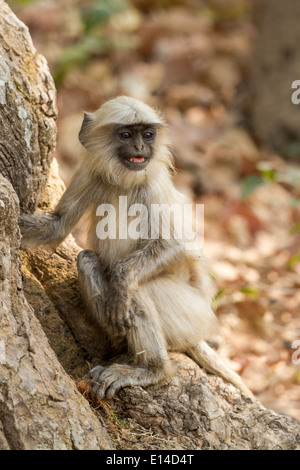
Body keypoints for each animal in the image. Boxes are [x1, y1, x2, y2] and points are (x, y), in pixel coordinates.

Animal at [19, 96, 252, 400]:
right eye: (127, 135)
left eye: (148, 134)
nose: (140, 148)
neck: (124, 181)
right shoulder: (89, 173)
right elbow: (56, 226)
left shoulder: (153, 185)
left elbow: (172, 244)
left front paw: (121, 282)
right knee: (87, 259)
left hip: (190, 313)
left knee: (137, 289)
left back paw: (152, 369)